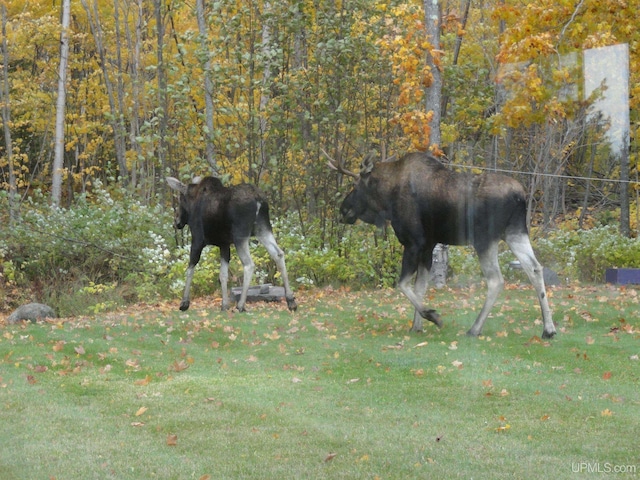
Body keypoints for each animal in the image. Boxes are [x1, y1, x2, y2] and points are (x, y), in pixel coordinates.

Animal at [164, 178, 296, 314]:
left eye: (180, 199)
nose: (176, 222)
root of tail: (259, 200)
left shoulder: (197, 240)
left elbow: (190, 269)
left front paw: (184, 303)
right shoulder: (224, 244)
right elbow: (223, 275)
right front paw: (224, 305)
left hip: (240, 236)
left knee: (249, 264)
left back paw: (240, 305)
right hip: (263, 229)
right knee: (278, 254)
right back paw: (291, 301)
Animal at [330, 150, 556, 338]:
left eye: (356, 185)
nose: (343, 210)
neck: (387, 200)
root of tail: (521, 196)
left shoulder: (414, 242)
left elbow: (402, 284)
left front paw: (432, 316)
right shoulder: (428, 245)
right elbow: (420, 287)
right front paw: (416, 326)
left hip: (485, 239)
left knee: (496, 280)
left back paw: (474, 329)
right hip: (515, 232)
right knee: (535, 268)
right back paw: (549, 329)